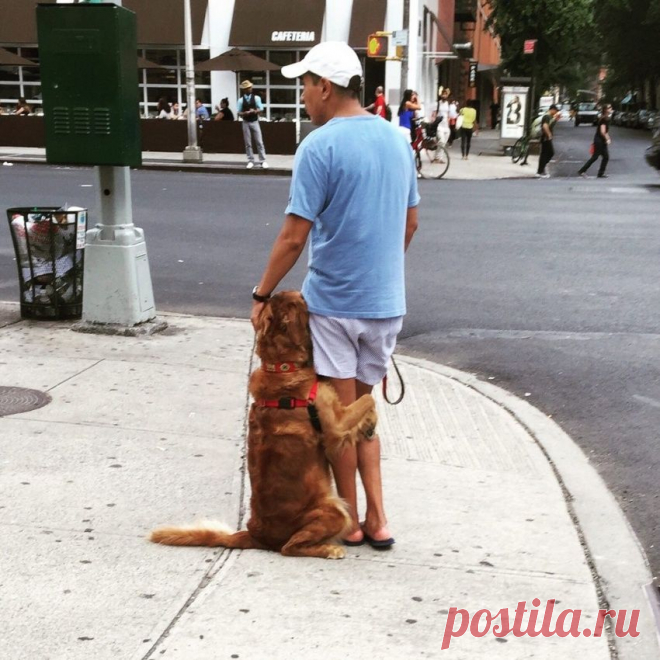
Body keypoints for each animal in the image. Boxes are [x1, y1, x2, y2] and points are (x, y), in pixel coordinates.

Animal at [150, 291, 378, 559]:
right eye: (296, 301)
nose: (303, 292)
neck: (281, 367)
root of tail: (256, 536)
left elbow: (368, 402)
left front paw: (370, 424)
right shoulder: (336, 427)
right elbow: (369, 399)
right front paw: (371, 421)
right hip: (334, 510)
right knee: (290, 547)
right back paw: (330, 549)